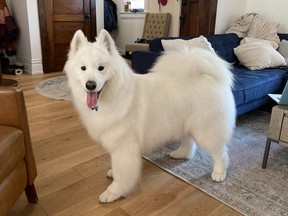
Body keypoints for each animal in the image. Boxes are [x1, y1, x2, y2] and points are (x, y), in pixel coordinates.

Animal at [64, 29, 235, 203]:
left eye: (101, 68)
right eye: (83, 68)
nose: (90, 85)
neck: (116, 95)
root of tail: (207, 76)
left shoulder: (124, 147)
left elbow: (121, 173)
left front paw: (113, 192)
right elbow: (116, 167)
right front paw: (112, 174)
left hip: (205, 131)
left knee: (221, 153)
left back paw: (219, 173)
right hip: (185, 123)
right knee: (189, 142)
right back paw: (181, 154)